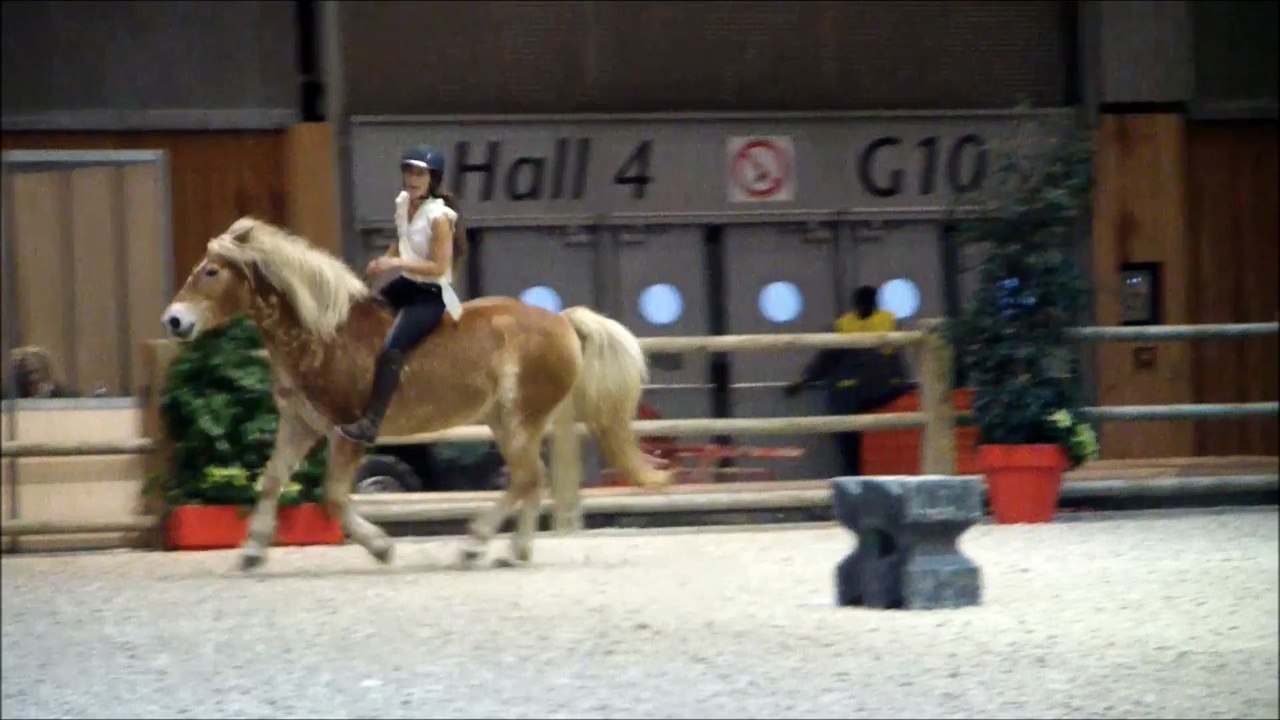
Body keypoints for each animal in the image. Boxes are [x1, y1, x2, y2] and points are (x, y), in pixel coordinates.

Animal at [161, 216, 670, 571]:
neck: (325, 333)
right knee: (532, 480)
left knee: (526, 479)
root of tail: (562, 321)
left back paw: (475, 547)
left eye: (211, 272)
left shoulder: (347, 432)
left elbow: (333, 497)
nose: (174, 321)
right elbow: (270, 481)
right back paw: (514, 551)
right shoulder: (301, 423)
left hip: (519, 419)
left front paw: (382, 547)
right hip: (506, 422)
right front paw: (251, 552)